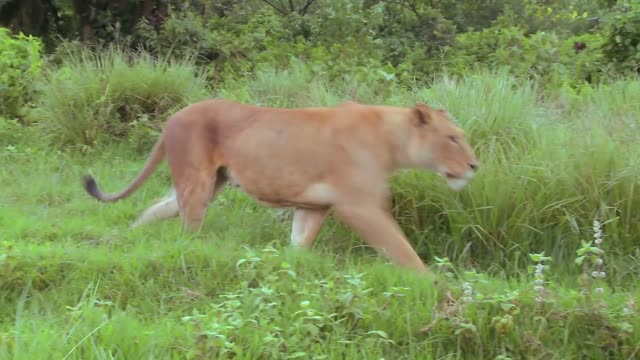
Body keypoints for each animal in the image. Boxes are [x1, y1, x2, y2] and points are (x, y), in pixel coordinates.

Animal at [82, 98, 478, 272]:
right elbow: (401, 249)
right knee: (187, 230)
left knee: (155, 210)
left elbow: (298, 246)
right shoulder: (359, 206)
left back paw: (127, 239)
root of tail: (172, 119)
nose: (475, 166)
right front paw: (436, 285)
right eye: (453, 139)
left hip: (209, 183)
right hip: (198, 182)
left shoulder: (314, 206)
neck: (391, 139)